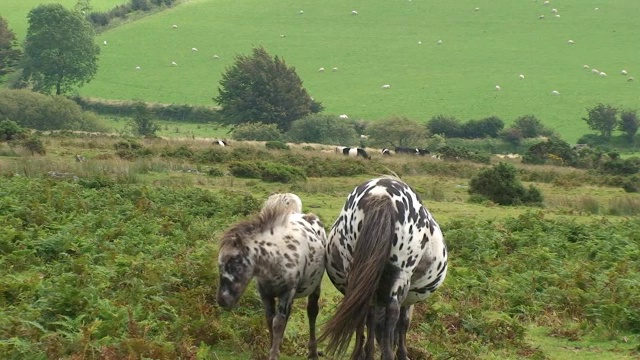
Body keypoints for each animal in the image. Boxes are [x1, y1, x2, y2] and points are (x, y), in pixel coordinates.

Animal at [218, 194, 328, 360]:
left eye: (235, 261)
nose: (222, 301)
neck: (273, 260)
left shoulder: (286, 293)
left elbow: (278, 323)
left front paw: (274, 354)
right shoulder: (265, 293)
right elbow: (270, 320)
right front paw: (273, 348)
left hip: (315, 286)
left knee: (312, 311)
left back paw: (313, 352)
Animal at [320, 177, 450, 360]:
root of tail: (381, 193)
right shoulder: (408, 300)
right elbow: (403, 323)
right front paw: (402, 354)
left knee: (366, 310)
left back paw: (365, 353)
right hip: (402, 275)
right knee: (392, 312)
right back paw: (387, 354)